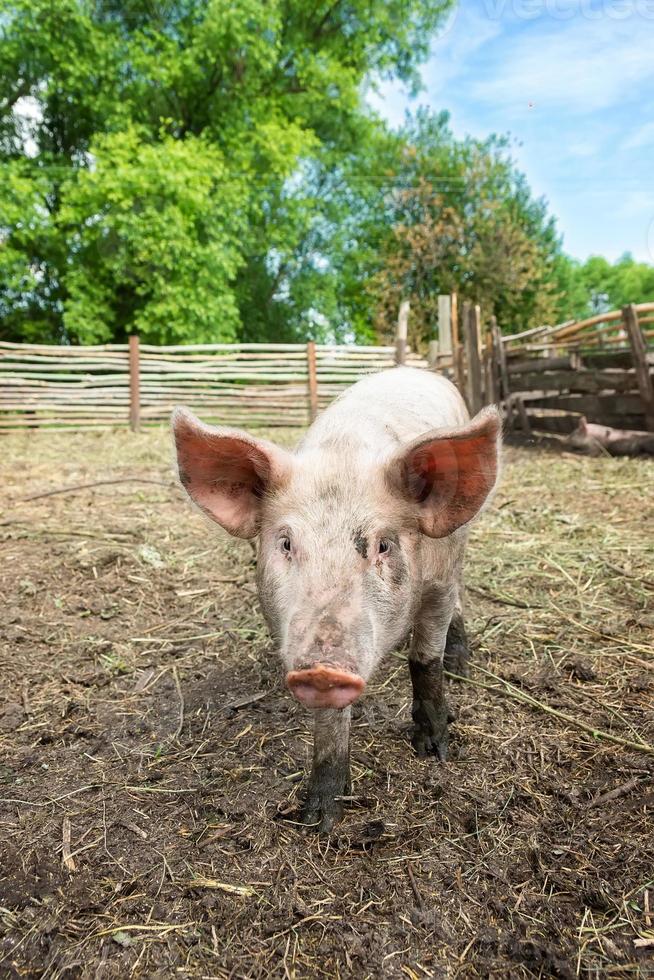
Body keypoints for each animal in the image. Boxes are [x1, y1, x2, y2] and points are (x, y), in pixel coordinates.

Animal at [174, 368, 502, 828]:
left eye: (383, 545)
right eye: (286, 543)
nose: (323, 668)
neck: (344, 455)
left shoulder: (438, 582)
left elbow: (425, 660)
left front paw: (436, 750)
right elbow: (331, 720)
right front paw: (319, 817)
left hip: (460, 544)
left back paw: (460, 667)